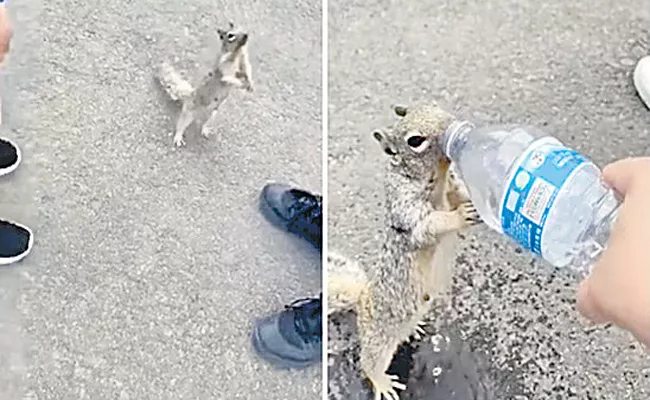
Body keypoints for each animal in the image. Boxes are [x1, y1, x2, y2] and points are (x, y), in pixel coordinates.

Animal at [326, 103, 478, 400]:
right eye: (415, 141)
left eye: (433, 105)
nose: (452, 123)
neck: (438, 178)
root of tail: (361, 302)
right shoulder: (407, 208)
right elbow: (430, 224)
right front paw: (459, 216)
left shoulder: (451, 187)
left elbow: (459, 194)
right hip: (379, 338)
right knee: (369, 363)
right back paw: (383, 383)